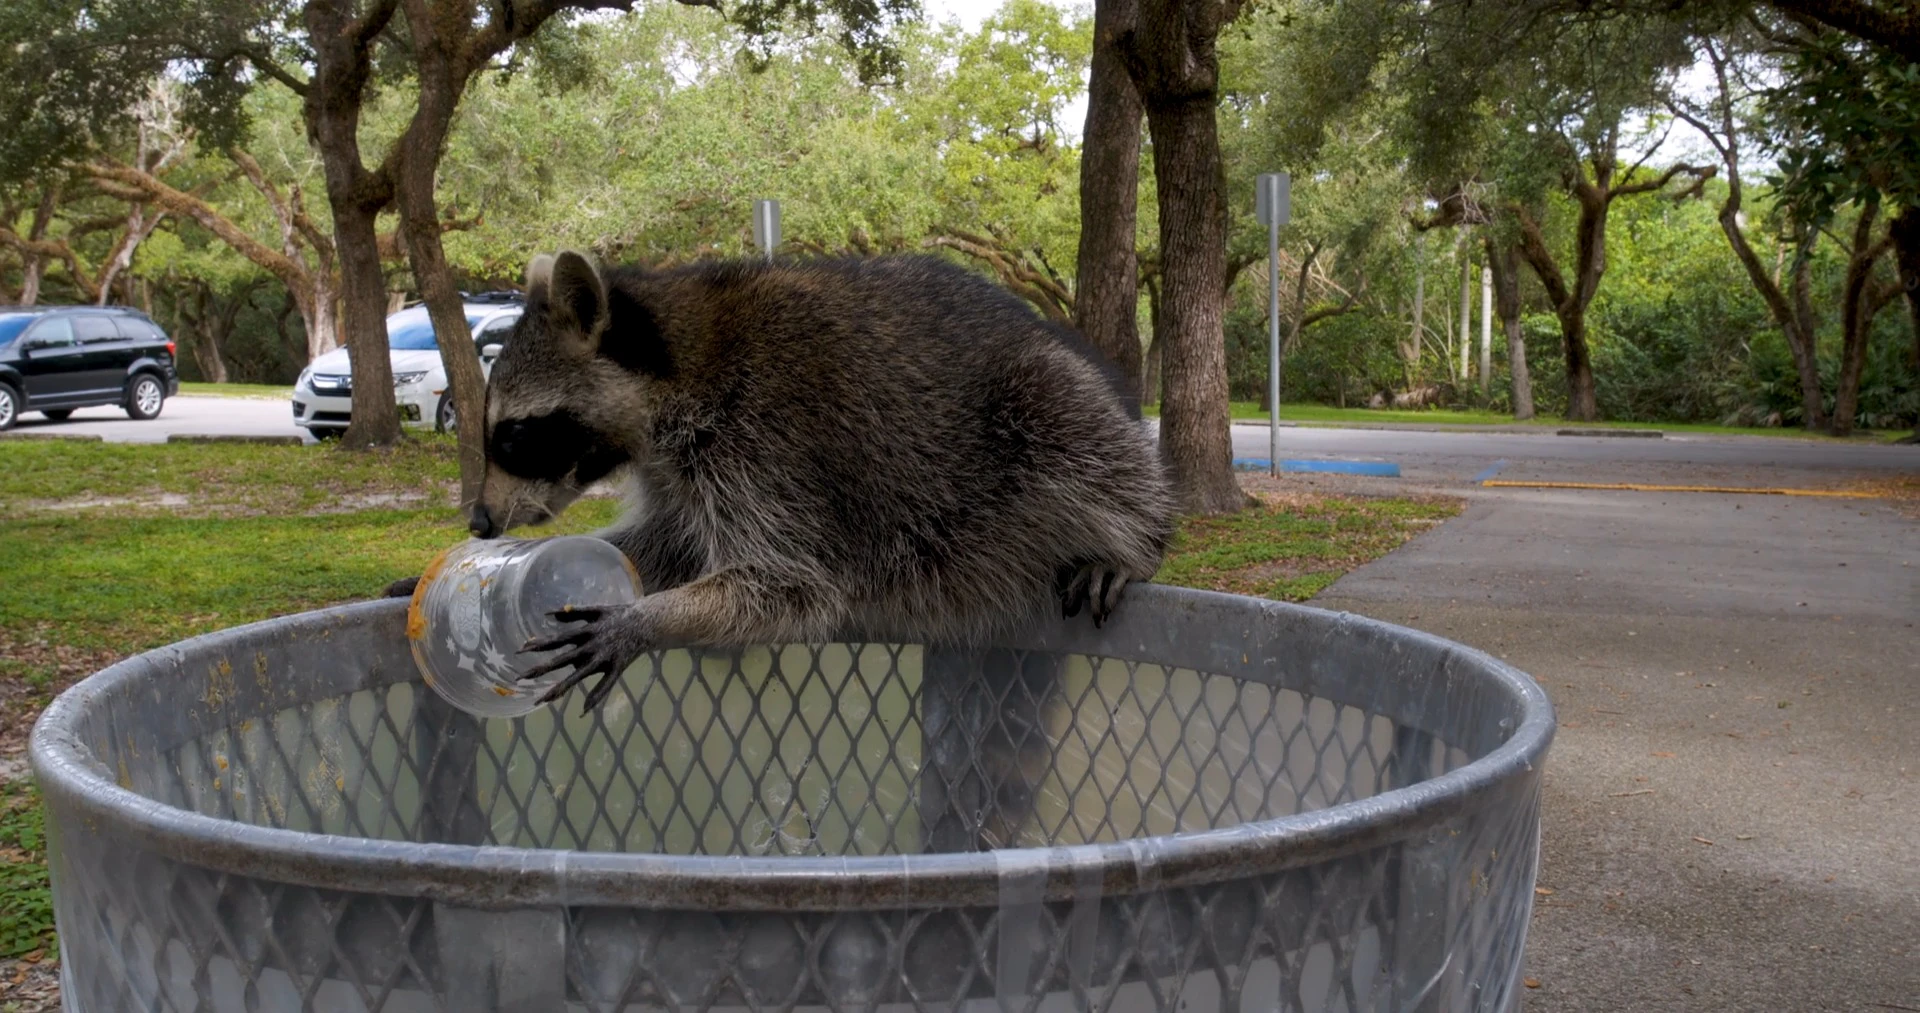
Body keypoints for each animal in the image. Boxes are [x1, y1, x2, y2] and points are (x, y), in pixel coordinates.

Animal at [464, 250, 1175, 714]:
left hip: (1039, 404)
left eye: (514, 436)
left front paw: (648, 619)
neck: (676, 367)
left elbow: (792, 586)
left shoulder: (765, 446)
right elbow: (670, 543)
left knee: (1084, 437)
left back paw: (1136, 540)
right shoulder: (683, 471)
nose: (478, 520)